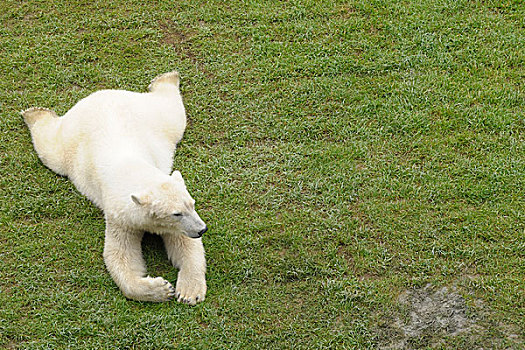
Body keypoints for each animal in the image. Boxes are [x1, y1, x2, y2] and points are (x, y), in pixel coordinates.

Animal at [23, 71, 207, 304]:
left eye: (192, 204)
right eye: (176, 213)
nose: (202, 229)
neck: (133, 171)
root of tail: (100, 94)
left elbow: (185, 244)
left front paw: (189, 292)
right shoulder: (119, 215)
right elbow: (120, 255)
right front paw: (161, 288)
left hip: (151, 117)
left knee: (172, 111)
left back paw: (168, 77)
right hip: (69, 143)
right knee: (49, 148)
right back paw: (33, 112)